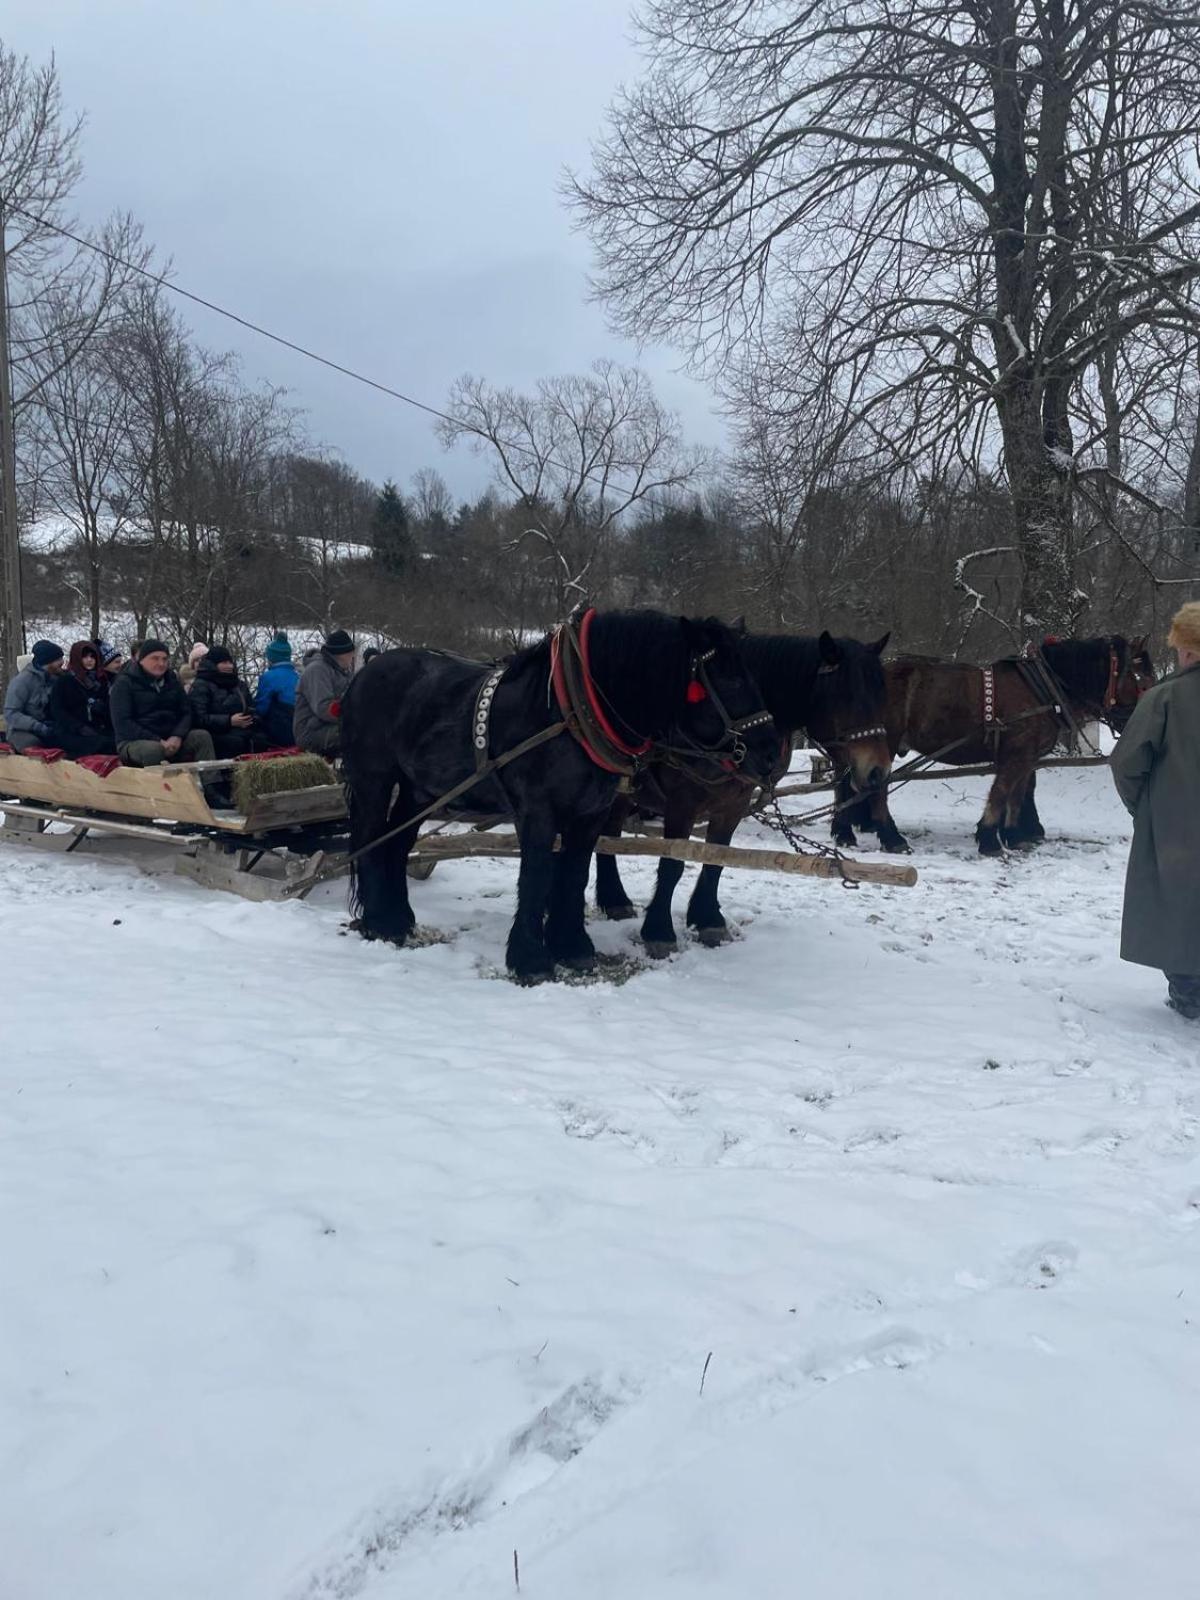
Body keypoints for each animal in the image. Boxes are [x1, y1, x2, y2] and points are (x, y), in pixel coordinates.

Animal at [342, 611, 784, 985]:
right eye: (730, 681)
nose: (768, 754)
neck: (572, 713)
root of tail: (368, 670)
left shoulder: (589, 813)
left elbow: (574, 874)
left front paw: (572, 946)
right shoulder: (538, 811)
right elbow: (536, 877)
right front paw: (530, 959)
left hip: (420, 789)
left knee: (398, 842)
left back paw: (400, 919)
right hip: (374, 778)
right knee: (370, 840)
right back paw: (378, 921)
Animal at [598, 630, 896, 953]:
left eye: (882, 695)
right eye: (845, 696)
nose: (878, 771)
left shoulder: (733, 805)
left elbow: (716, 859)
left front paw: (708, 921)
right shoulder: (682, 805)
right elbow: (672, 864)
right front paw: (659, 932)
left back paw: (614, 900)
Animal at [838, 636, 1158, 864]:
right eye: (1144, 680)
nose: (1140, 721)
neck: (1041, 688)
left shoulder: (1027, 758)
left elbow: (1017, 795)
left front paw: (1014, 835)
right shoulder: (1016, 755)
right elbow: (1001, 793)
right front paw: (990, 839)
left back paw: (847, 831)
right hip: (883, 745)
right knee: (876, 788)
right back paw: (890, 837)